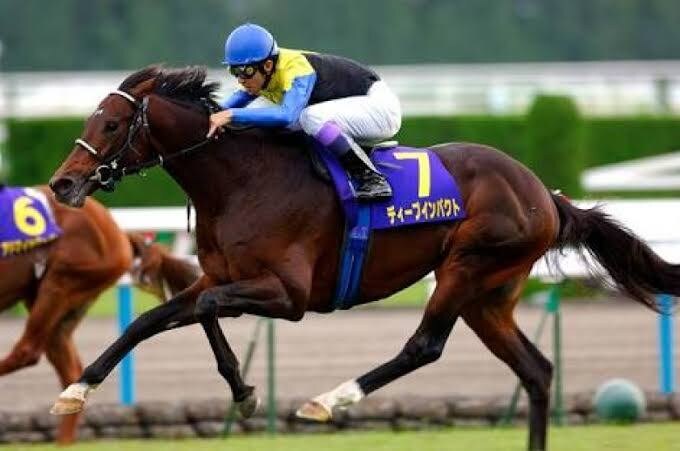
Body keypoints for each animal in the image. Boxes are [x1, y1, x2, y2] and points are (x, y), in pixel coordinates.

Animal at [47, 66, 680, 451]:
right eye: (88, 120)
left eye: (110, 123)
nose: (61, 185)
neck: (241, 181)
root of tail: (543, 193)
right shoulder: (222, 276)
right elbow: (153, 318)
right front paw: (77, 389)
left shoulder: (289, 295)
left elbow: (202, 311)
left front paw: (246, 393)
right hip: (490, 295)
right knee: (536, 370)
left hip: (467, 265)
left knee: (424, 346)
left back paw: (331, 400)